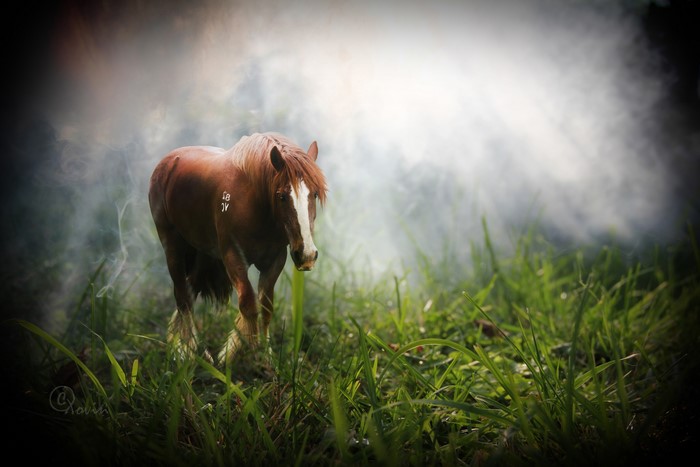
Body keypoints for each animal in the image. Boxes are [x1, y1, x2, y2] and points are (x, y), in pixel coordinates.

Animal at [148, 132, 328, 364]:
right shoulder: (233, 256)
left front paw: (266, 356)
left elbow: (266, 306)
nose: (306, 255)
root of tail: (169, 161)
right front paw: (243, 355)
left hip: (203, 253)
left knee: (189, 290)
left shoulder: (275, 261)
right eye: (281, 196)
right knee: (183, 298)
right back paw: (190, 353)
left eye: (314, 194)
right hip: (172, 246)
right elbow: (249, 305)